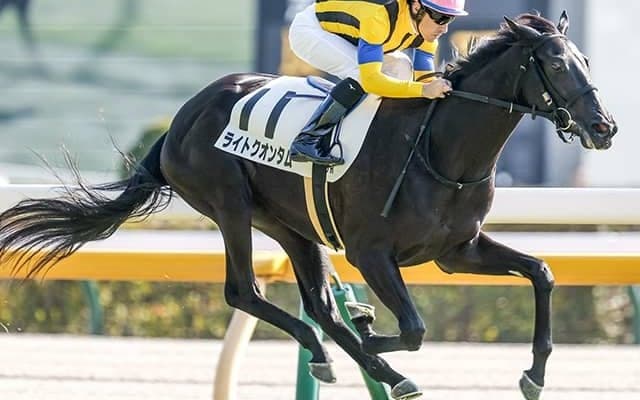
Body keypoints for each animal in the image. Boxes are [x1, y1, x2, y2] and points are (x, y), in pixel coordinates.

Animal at [0, 13, 617, 400]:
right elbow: (414, 327)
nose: (603, 128)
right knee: (244, 291)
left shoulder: (455, 251)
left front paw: (535, 374)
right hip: (229, 204)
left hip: (291, 226)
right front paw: (373, 333)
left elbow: (541, 273)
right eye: (555, 65)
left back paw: (352, 355)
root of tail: (180, 118)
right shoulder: (372, 253)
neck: (440, 149)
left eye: (587, 59)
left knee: (318, 305)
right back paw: (365, 359)